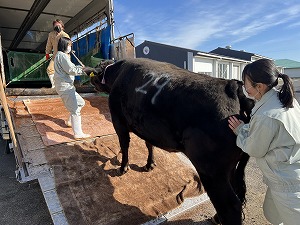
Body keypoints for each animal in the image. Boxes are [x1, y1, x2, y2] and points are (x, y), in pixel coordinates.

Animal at [84, 58, 253, 225]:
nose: (90, 79)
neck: (118, 72)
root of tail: (233, 87)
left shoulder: (119, 121)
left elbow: (124, 145)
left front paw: (123, 167)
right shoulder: (147, 128)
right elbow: (149, 144)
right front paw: (150, 164)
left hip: (211, 171)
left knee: (230, 206)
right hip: (228, 168)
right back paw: (216, 218)